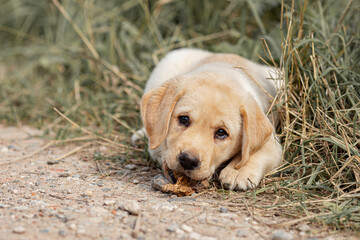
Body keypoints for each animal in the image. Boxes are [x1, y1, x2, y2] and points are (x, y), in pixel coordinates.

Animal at [131, 48, 282, 191]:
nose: (188, 160)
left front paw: (238, 172)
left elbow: (256, 151)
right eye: (184, 119)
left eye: (221, 133)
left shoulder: (273, 143)